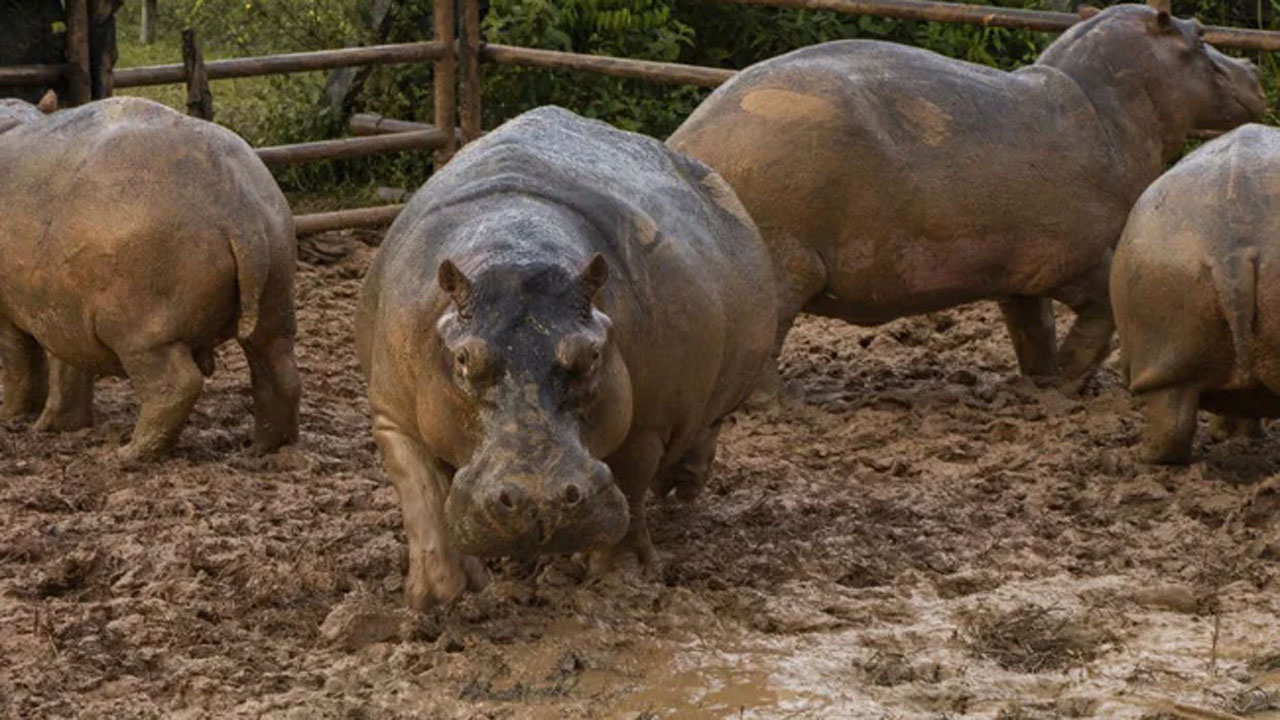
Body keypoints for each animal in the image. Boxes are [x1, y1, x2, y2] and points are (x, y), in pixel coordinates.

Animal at [0, 96, 299, 461]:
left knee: (176, 385)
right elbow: (66, 368)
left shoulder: (18, 311)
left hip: (141, 330)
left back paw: (126, 454)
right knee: (278, 369)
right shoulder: (59, 306)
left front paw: (9, 417)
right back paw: (263, 450)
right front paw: (57, 425)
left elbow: (20, 363)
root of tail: (239, 211)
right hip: (276, 289)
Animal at [356, 106, 776, 609]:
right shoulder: (392, 413)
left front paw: (620, 579)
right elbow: (422, 494)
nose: (540, 501)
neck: (515, 250)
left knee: (702, 430)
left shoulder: (646, 422)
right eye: (463, 359)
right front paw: (441, 596)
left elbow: (630, 487)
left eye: (592, 353)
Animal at [668, 4, 1265, 392]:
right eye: (1198, 34)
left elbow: (1032, 327)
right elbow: (1102, 312)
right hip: (783, 262)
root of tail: (685, 143)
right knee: (763, 345)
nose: (1256, 69)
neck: (1109, 108)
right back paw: (776, 402)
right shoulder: (1076, 257)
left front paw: (1040, 384)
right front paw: (1068, 384)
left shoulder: (1021, 270)